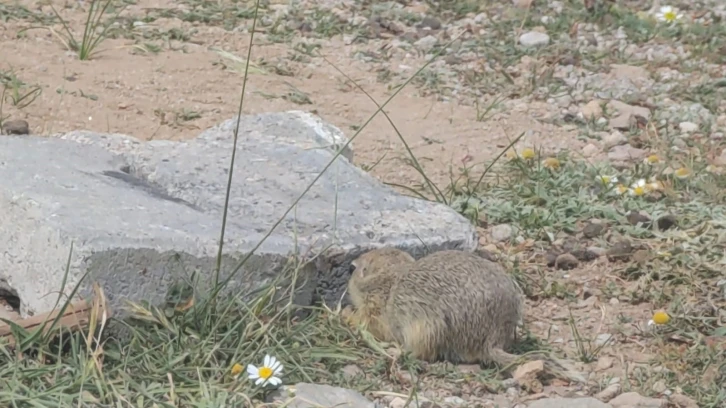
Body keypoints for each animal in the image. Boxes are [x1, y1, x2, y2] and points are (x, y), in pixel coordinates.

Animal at [346, 247, 584, 384]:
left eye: (357, 270)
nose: (352, 264)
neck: (388, 278)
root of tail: (493, 340)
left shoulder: (377, 312)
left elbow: (369, 324)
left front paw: (345, 314)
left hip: (424, 330)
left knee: (420, 352)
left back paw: (394, 351)